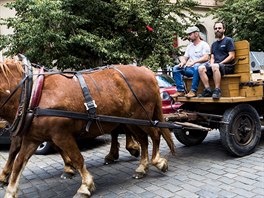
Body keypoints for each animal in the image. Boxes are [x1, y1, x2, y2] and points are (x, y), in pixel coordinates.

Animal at [0, 58, 175, 197]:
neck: (34, 93)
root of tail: (147, 71)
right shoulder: (32, 138)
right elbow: (18, 162)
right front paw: (10, 189)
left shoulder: (61, 135)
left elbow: (77, 158)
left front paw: (85, 186)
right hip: (132, 121)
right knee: (143, 140)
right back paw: (141, 167)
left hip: (142, 117)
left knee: (155, 134)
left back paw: (157, 161)